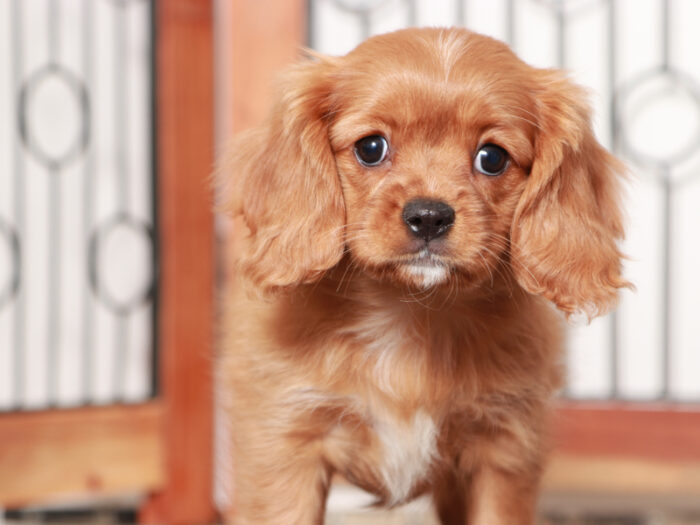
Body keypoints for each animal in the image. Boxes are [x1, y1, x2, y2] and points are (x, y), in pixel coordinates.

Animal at [217, 25, 624, 524]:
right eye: (371, 148)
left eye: (492, 158)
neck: (409, 313)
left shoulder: (503, 448)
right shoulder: (285, 445)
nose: (429, 216)